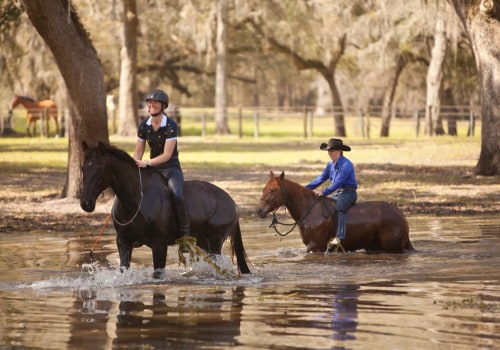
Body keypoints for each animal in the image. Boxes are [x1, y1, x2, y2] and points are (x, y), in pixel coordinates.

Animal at [81, 141, 250, 278]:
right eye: (83, 168)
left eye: (100, 168)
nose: (86, 203)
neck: (136, 199)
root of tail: (233, 203)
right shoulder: (123, 242)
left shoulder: (159, 244)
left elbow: (158, 273)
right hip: (204, 243)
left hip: (215, 242)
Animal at [256, 171, 412, 253]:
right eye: (264, 189)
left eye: (273, 190)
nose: (259, 210)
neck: (309, 212)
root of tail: (401, 215)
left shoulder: (316, 246)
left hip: (392, 248)